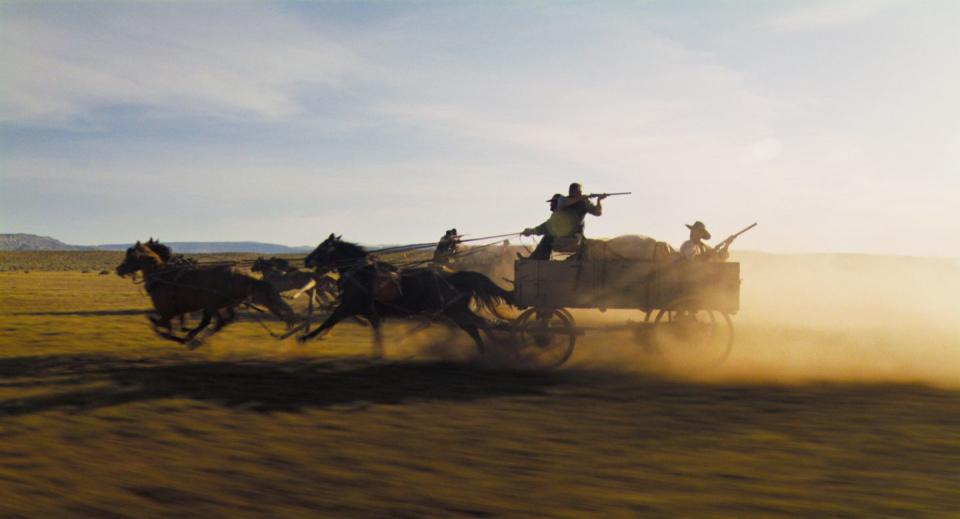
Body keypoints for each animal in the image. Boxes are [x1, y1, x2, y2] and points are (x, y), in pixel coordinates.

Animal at [117, 241, 296, 348]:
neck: (162, 276)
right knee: (220, 321)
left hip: (212, 303)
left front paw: (180, 337)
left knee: (216, 321)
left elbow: (158, 326)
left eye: (130, 256)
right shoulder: (172, 313)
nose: (118, 269)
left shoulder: (167, 312)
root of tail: (241, 274)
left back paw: (193, 338)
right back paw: (195, 337)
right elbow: (163, 326)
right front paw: (184, 334)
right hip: (220, 304)